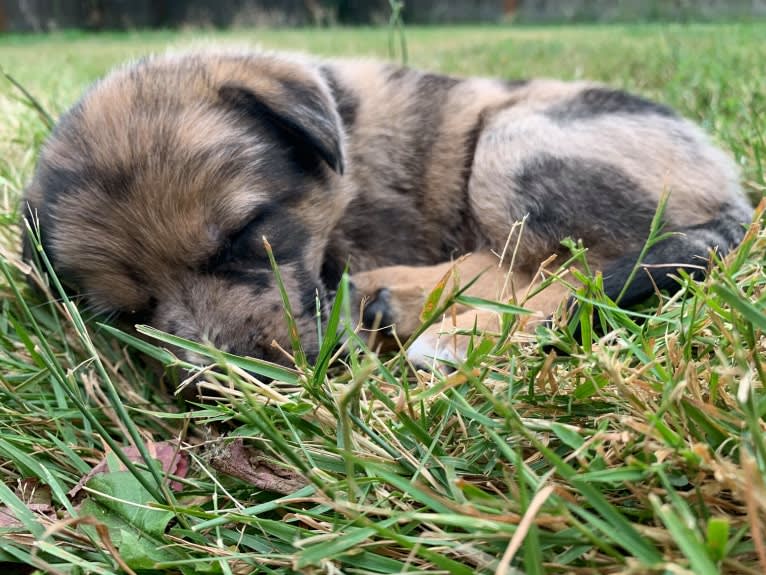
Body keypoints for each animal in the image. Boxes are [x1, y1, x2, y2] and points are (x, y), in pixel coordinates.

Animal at [19, 51, 756, 372]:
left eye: (247, 233)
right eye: (131, 312)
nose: (245, 378)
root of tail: (734, 195)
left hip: (512, 146)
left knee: (579, 264)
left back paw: (452, 329)